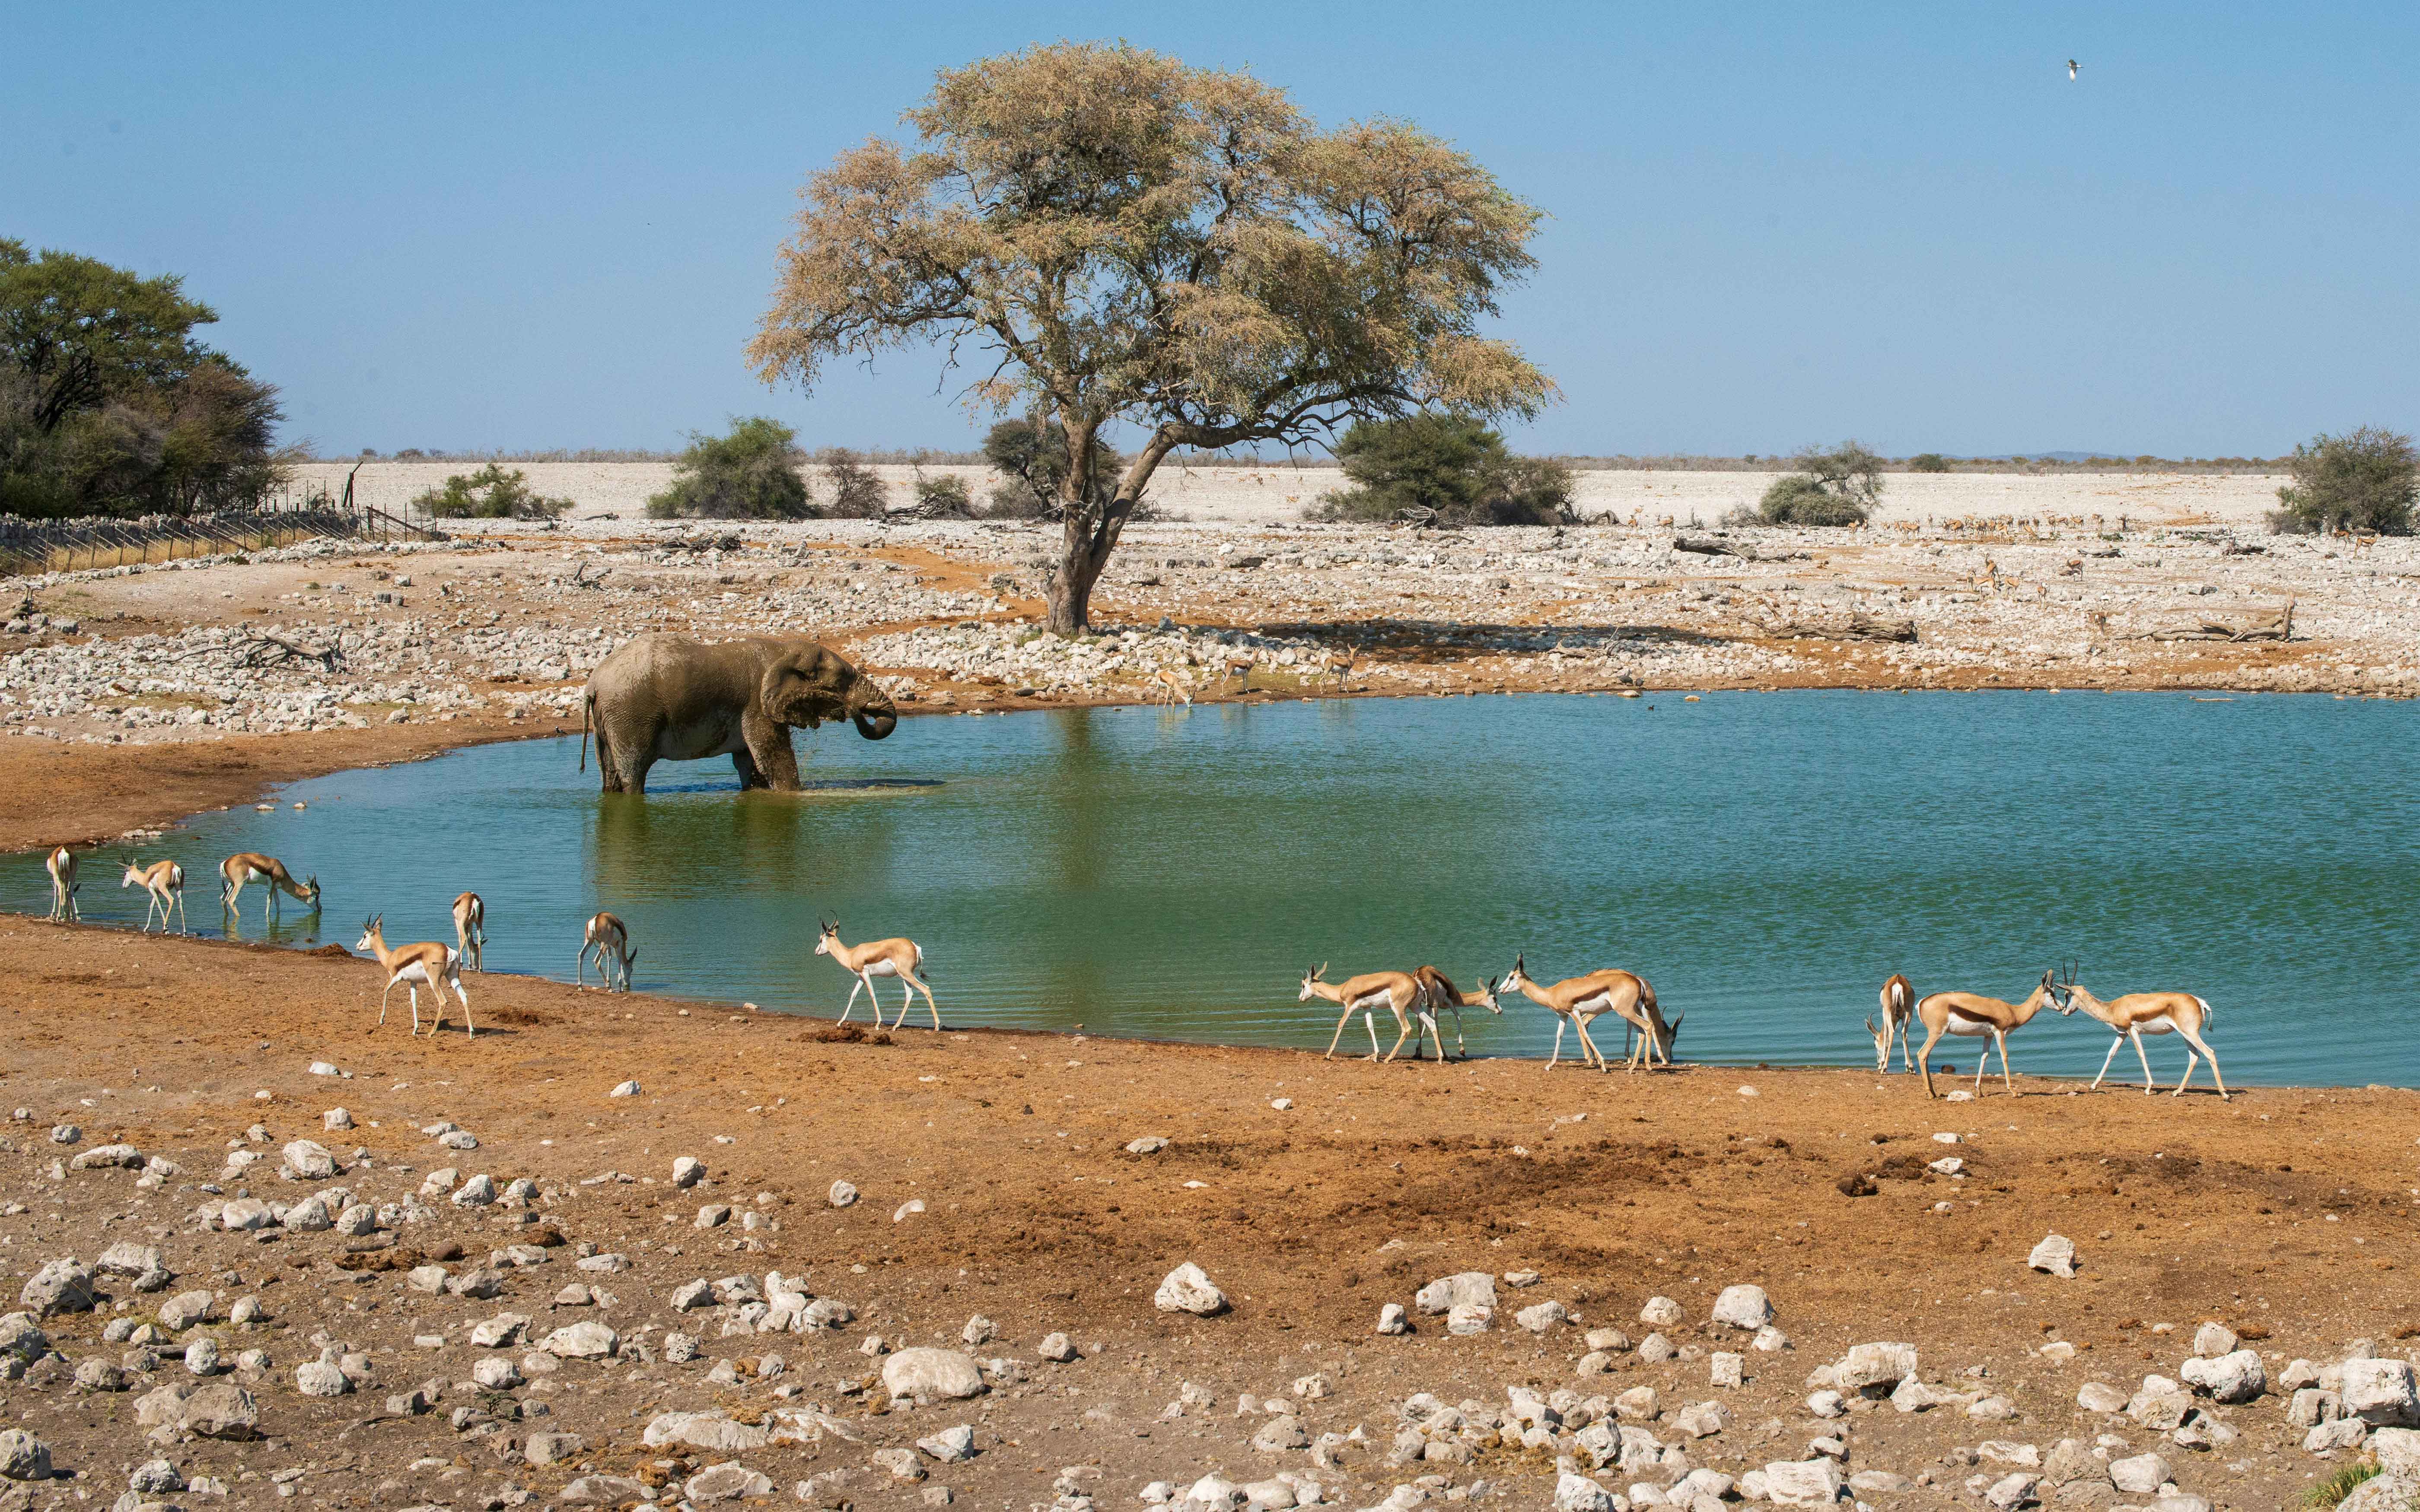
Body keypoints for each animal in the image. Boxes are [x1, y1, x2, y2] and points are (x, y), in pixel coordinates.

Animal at [580, 634, 897, 794]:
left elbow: (752, 765)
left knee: (610, 773)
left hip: (609, 721)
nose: (853, 710)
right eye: (840, 683)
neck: (785, 649)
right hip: (630, 716)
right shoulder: (758, 705)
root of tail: (592, 685)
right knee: (633, 771)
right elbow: (774, 760)